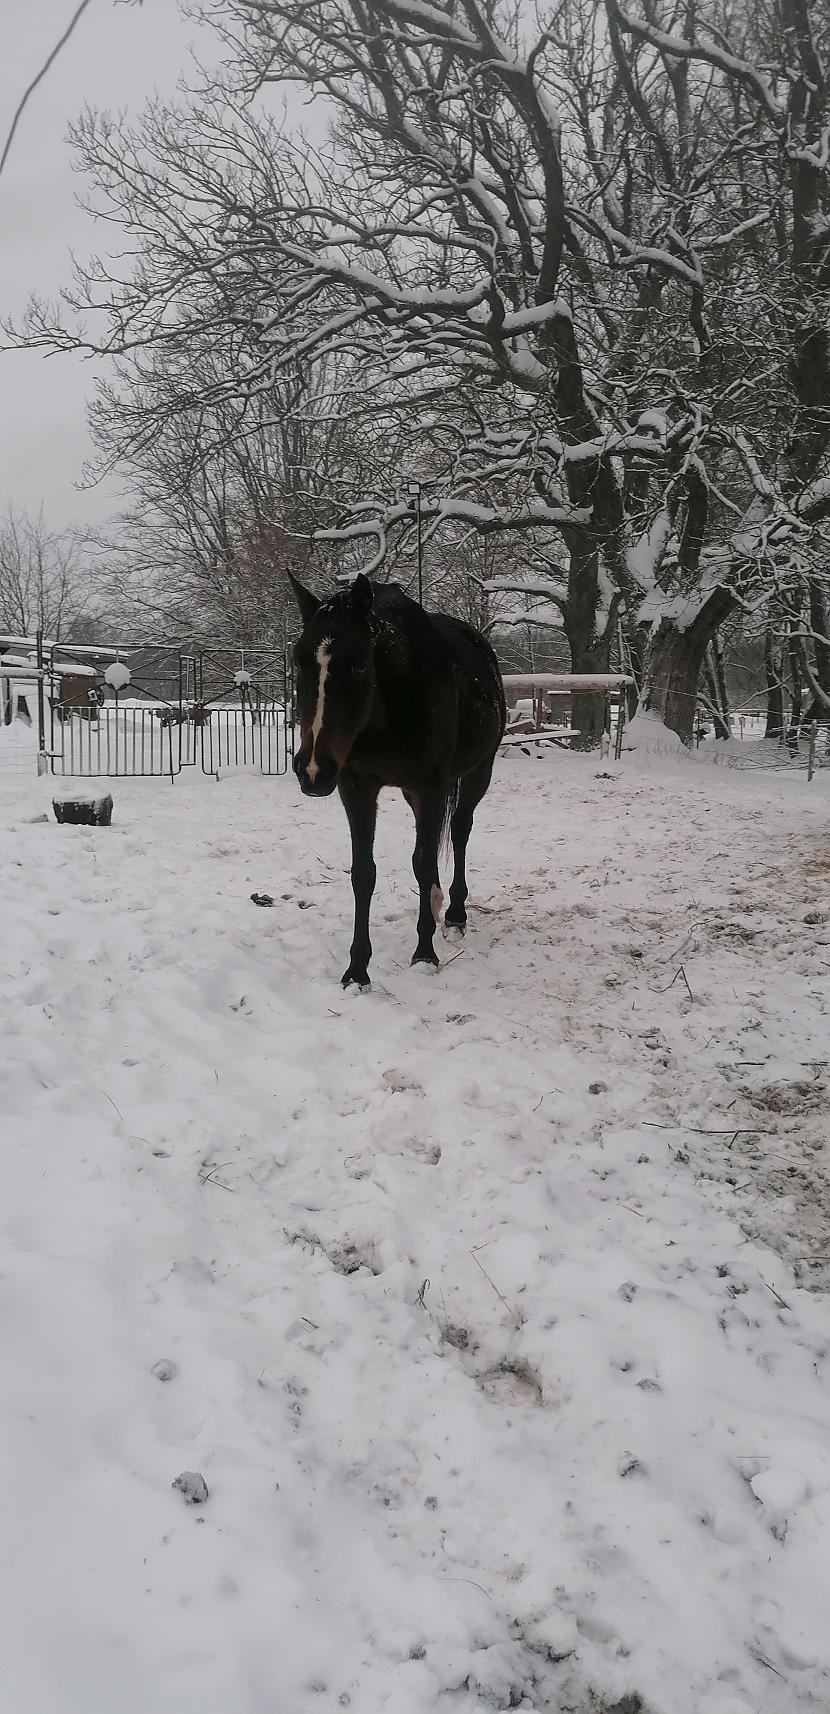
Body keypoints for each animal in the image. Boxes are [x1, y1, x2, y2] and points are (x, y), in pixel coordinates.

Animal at [284, 572, 504, 987]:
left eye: (356, 665)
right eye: (299, 661)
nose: (313, 770)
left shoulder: (431, 787)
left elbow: (423, 862)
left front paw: (425, 953)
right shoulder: (356, 788)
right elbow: (363, 873)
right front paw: (357, 969)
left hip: (478, 771)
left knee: (460, 831)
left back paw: (454, 914)